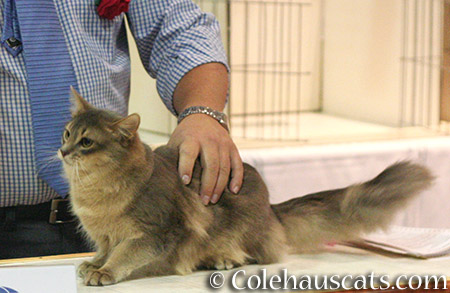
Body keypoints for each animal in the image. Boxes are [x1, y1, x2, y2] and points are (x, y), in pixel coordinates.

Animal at [59, 88, 432, 286]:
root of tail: (271, 210)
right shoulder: (105, 234)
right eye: (67, 133)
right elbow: (107, 249)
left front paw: (105, 272)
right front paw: (94, 264)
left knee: (257, 254)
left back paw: (222, 259)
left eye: (87, 142)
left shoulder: (157, 232)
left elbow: (125, 255)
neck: (93, 191)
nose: (62, 151)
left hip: (242, 228)